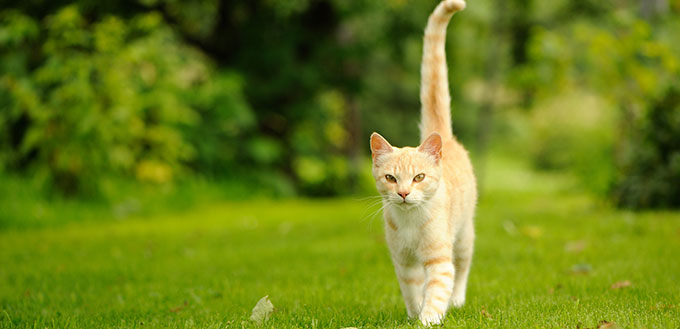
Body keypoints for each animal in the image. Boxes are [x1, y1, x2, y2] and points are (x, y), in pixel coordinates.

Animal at [370, 0, 476, 324]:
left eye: (419, 177)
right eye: (391, 178)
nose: (404, 193)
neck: (410, 223)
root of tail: (446, 136)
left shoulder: (439, 258)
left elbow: (438, 290)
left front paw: (427, 320)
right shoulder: (403, 262)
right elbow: (412, 290)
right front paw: (413, 314)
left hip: (464, 235)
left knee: (462, 268)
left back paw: (458, 300)